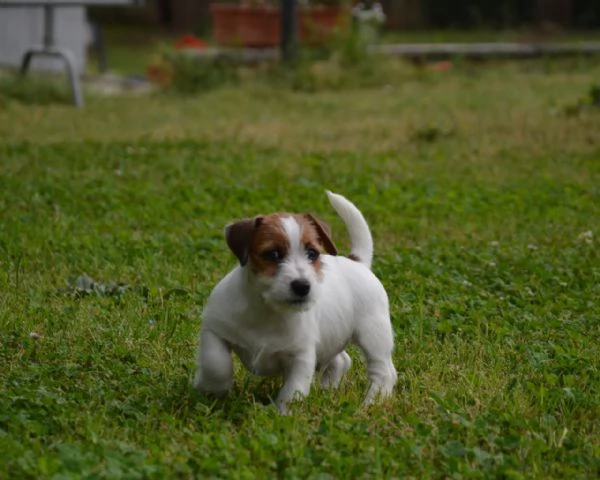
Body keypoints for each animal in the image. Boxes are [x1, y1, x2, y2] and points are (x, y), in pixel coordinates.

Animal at [193, 191, 398, 412]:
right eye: (272, 254)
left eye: (313, 253)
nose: (302, 286)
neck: (267, 310)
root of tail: (357, 262)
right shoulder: (214, 330)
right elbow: (216, 363)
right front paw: (212, 389)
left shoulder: (301, 356)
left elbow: (292, 391)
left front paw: (282, 414)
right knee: (342, 360)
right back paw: (327, 391)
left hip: (373, 334)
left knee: (384, 371)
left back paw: (372, 403)